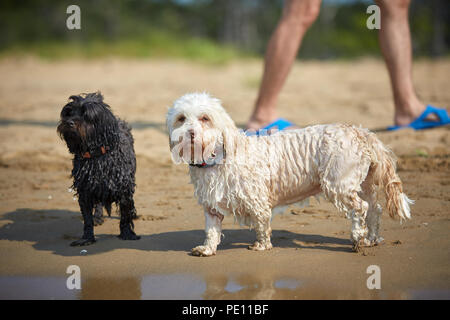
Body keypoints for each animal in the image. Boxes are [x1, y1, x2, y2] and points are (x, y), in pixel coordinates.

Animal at [57, 91, 140, 246]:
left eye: (86, 115)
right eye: (69, 113)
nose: (69, 123)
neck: (97, 156)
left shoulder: (124, 188)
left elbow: (125, 214)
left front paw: (127, 234)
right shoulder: (85, 189)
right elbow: (87, 218)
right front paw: (87, 238)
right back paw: (98, 217)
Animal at [167, 92, 414, 255]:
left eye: (205, 118)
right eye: (181, 118)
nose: (189, 133)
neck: (218, 157)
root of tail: (360, 132)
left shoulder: (257, 200)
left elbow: (261, 224)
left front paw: (262, 245)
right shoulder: (212, 208)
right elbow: (212, 231)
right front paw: (207, 249)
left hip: (339, 185)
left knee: (360, 209)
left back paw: (357, 239)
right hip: (362, 184)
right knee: (374, 208)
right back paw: (371, 238)